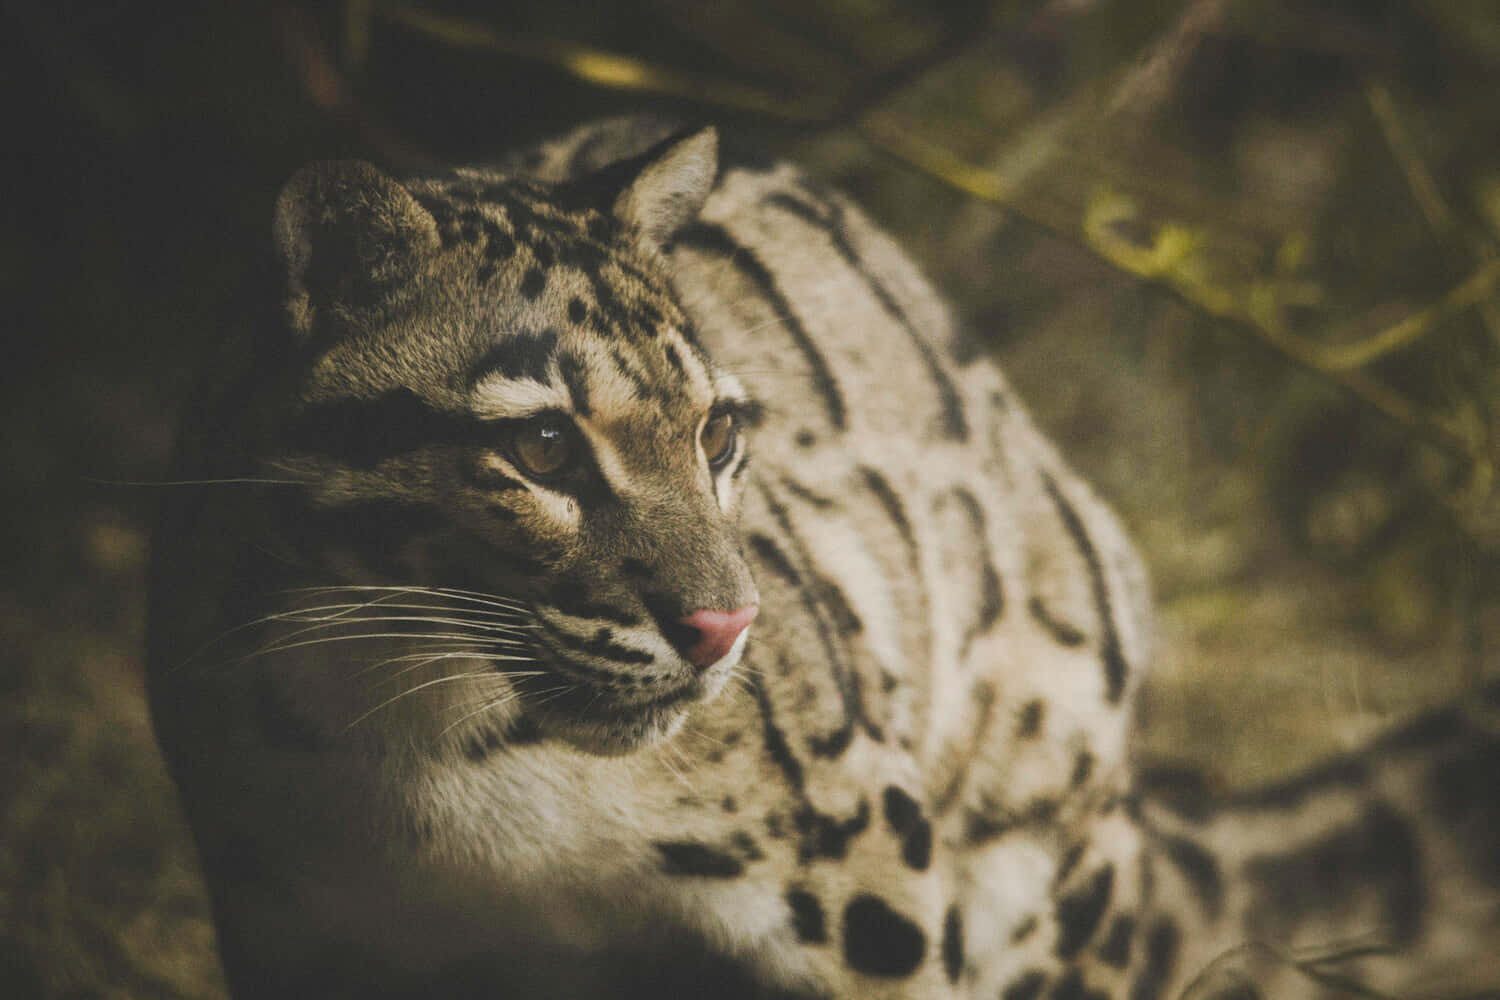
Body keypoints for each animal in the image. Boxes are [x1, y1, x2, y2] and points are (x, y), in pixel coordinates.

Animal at [147, 116, 1500, 999]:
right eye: (540, 445)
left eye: (718, 430)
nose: (725, 627)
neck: (413, 750)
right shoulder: (299, 931)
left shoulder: (866, 877)